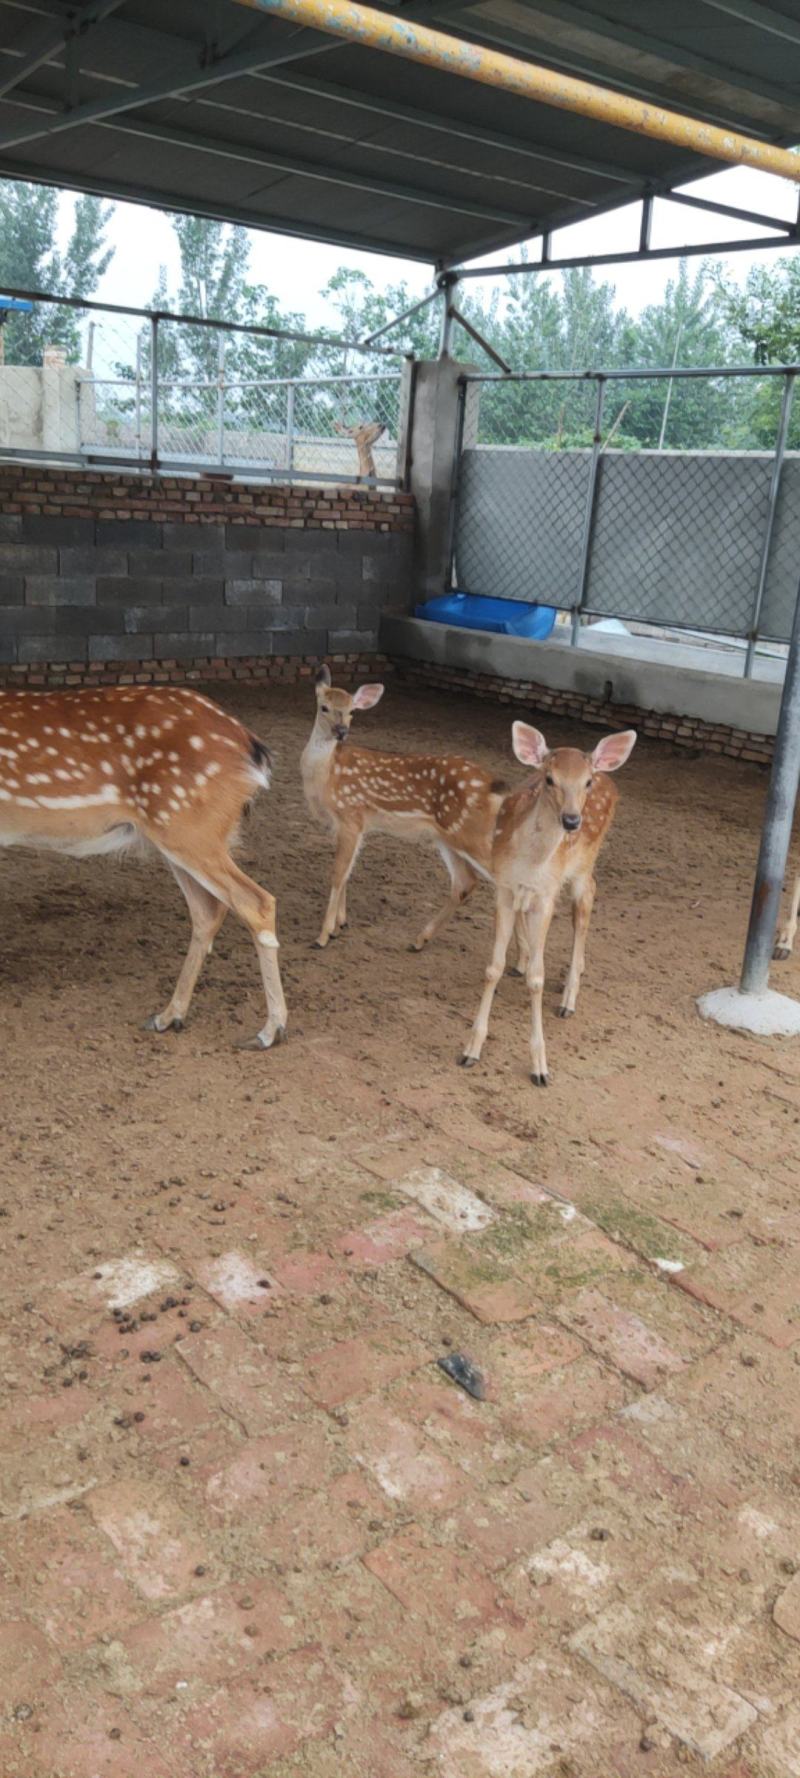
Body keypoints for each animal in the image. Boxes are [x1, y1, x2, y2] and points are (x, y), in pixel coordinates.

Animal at [0, 685, 287, 1050]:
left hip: (188, 826)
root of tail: (251, 745)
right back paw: (169, 1016)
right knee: (208, 910)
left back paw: (270, 1030)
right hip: (182, 834)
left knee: (256, 901)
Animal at [461, 720, 636, 1084]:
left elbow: (538, 980)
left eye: (586, 782)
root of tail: (610, 776)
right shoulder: (505, 888)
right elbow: (493, 968)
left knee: (585, 903)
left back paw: (569, 996)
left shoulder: (546, 895)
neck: (529, 861)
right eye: (549, 778)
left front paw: (540, 1066)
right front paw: (471, 1049)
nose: (571, 821)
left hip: (584, 864)